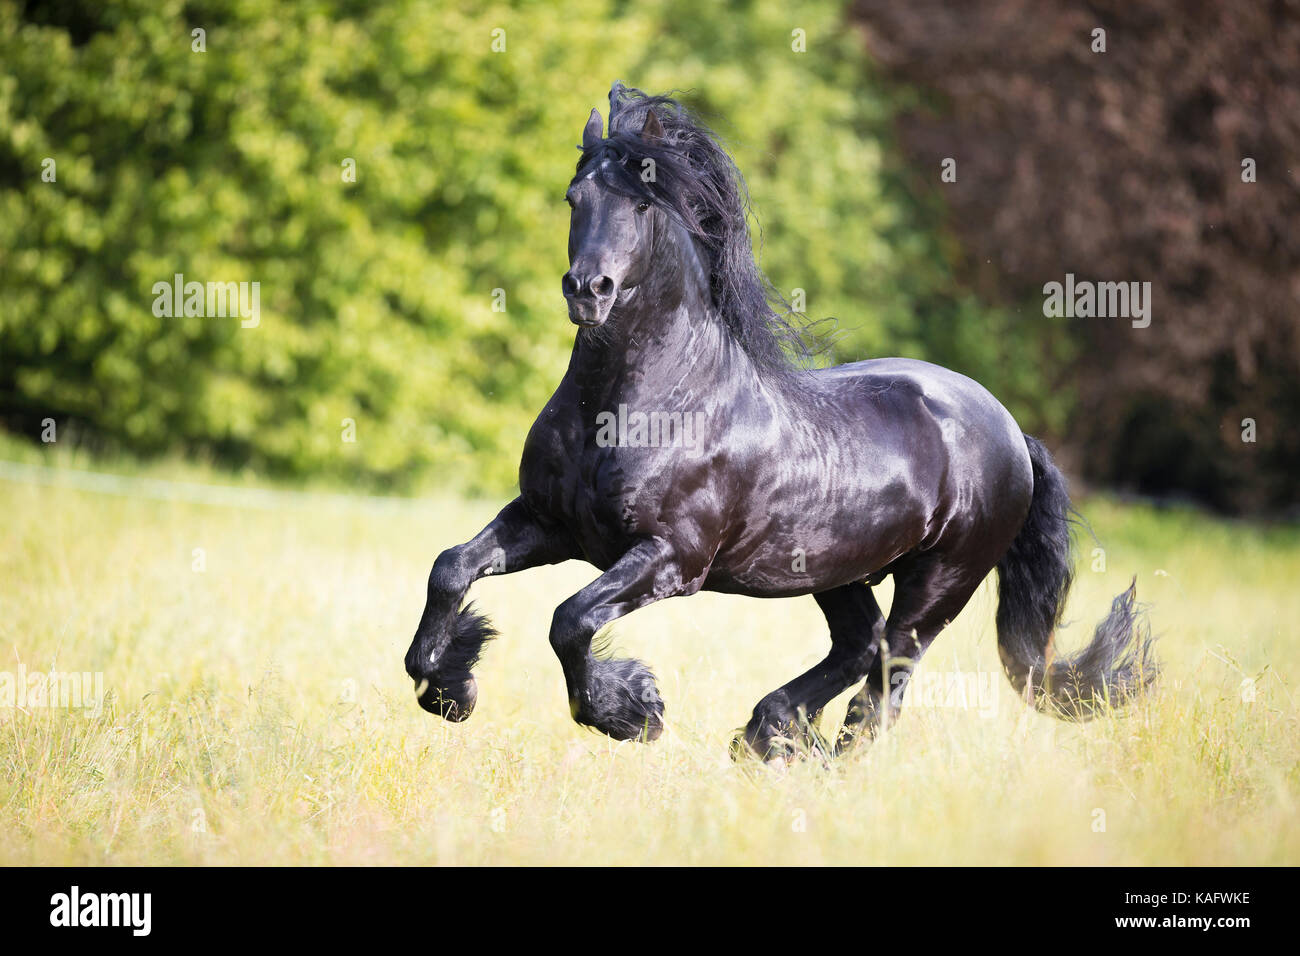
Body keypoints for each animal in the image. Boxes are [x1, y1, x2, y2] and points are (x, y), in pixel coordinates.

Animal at [405, 83, 1156, 760]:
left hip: (941, 581)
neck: (638, 407)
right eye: (574, 198)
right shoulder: (547, 520)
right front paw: (448, 689)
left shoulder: (671, 557)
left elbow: (570, 619)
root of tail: (1010, 431)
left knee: (886, 679)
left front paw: (632, 711)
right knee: (860, 646)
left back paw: (806, 754)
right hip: (840, 570)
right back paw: (766, 734)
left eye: (642, 204)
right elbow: (450, 568)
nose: (589, 291)